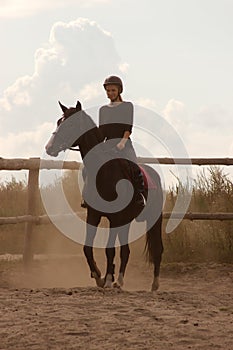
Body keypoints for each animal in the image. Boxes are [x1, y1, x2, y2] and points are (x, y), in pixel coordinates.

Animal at [45, 100, 164, 290]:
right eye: (58, 122)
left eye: (70, 124)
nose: (49, 148)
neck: (103, 172)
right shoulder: (94, 215)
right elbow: (87, 248)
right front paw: (98, 276)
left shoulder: (115, 218)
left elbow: (109, 249)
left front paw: (107, 278)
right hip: (126, 222)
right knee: (126, 251)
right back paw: (120, 281)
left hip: (153, 218)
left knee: (157, 249)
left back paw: (154, 284)